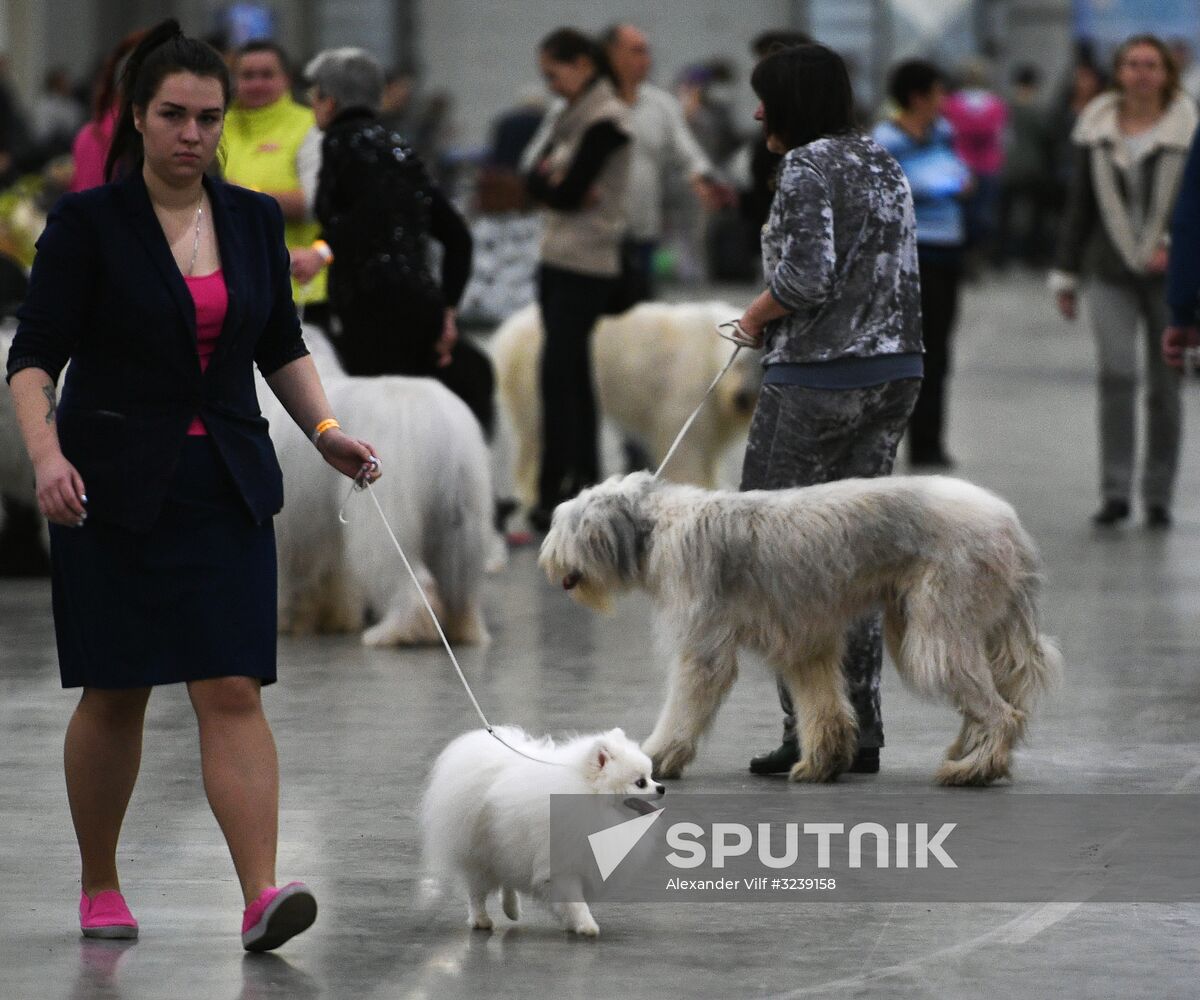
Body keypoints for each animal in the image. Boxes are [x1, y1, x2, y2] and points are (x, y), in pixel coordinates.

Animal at [264, 324, 492, 643]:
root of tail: (443, 428)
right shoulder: (322, 535)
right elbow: (333, 580)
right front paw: (335, 619)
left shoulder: (289, 534)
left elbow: (291, 580)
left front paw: (287, 621)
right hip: (460, 527)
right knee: (461, 589)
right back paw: (464, 629)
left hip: (384, 525)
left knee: (415, 585)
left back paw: (393, 633)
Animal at [422, 725, 667, 936]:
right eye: (641, 782)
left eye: (651, 776)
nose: (662, 787)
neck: (592, 800)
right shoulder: (563, 866)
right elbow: (576, 901)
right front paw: (586, 925)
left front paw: (572, 923)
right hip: (479, 855)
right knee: (477, 892)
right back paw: (481, 920)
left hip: (508, 847)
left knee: (506, 878)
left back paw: (511, 909)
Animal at [494, 298, 758, 504]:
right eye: (741, 364)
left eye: (755, 365)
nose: (741, 397)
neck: (710, 353)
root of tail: (506, 333)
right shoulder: (686, 388)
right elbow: (687, 450)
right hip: (538, 376)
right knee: (539, 434)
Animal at [540, 472, 1065, 782]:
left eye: (564, 529)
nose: (548, 564)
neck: (653, 527)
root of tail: (1008, 522)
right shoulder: (804, 643)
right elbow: (822, 708)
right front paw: (822, 762)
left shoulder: (702, 648)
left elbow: (685, 704)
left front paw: (656, 757)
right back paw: (969, 755)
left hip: (935, 636)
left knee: (1002, 713)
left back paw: (975, 768)